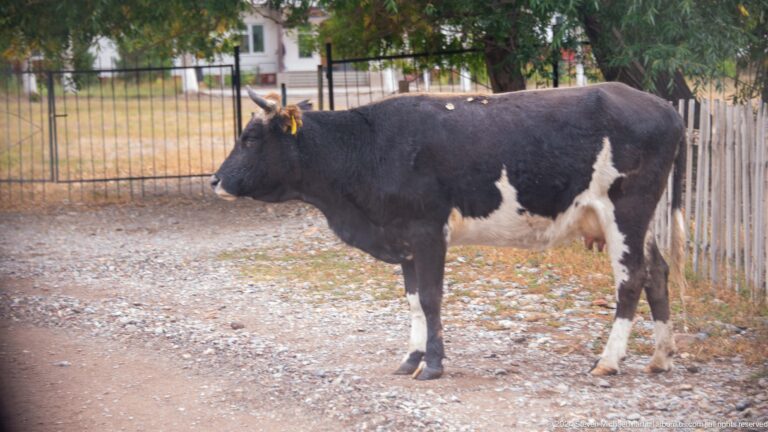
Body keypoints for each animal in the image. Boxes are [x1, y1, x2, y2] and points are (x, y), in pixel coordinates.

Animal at [211, 83, 686, 380]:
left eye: (250, 138)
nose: (215, 180)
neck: (369, 146)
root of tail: (663, 106)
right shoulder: (402, 235)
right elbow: (412, 302)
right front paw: (411, 359)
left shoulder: (427, 230)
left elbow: (430, 298)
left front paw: (434, 365)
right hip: (641, 219)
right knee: (657, 272)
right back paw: (660, 357)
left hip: (625, 209)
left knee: (631, 279)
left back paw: (609, 360)